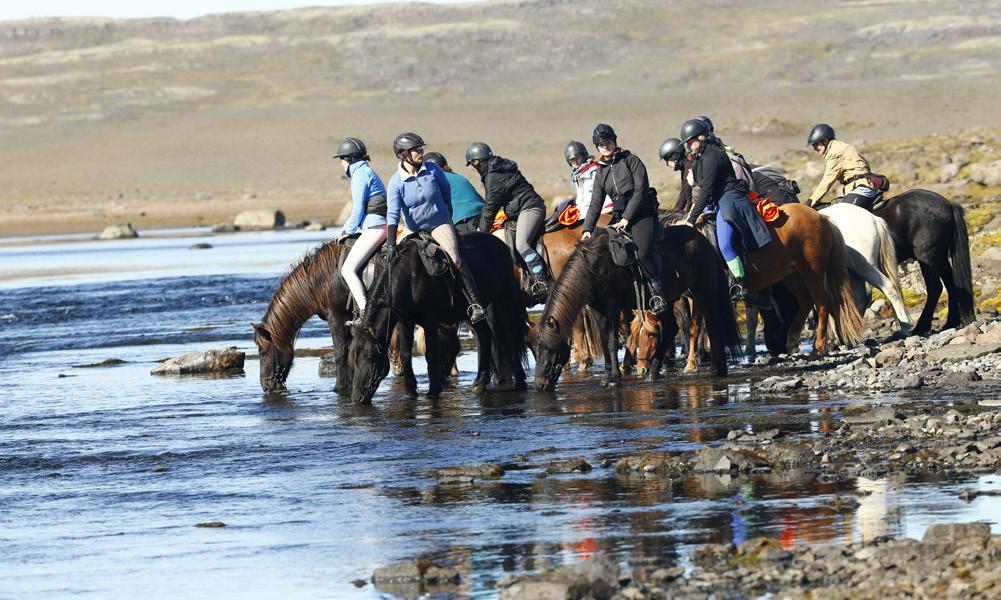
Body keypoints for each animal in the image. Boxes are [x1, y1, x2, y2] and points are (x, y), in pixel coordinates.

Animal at [252, 237, 354, 396]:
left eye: (262, 351)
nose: (266, 387)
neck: (318, 281)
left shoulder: (337, 317)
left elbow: (341, 353)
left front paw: (340, 387)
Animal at [348, 232, 528, 406]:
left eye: (370, 357)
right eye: (353, 359)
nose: (357, 397)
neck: (408, 278)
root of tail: (502, 245)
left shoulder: (430, 321)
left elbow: (431, 353)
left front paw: (433, 390)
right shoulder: (405, 322)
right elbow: (406, 354)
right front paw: (410, 391)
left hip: (503, 301)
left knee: (510, 336)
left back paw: (520, 381)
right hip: (474, 313)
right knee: (485, 336)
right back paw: (480, 382)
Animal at [532, 223, 744, 392]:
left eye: (550, 348)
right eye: (536, 349)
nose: (540, 384)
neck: (593, 268)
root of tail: (703, 240)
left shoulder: (613, 306)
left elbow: (612, 342)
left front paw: (614, 379)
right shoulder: (597, 310)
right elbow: (604, 341)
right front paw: (606, 377)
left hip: (703, 291)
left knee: (713, 324)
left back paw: (717, 369)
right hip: (668, 300)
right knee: (671, 328)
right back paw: (652, 373)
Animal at [876, 190, 968, 336]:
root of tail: (948, 204)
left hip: (926, 256)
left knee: (935, 288)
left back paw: (921, 327)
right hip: (940, 257)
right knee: (951, 285)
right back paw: (950, 322)